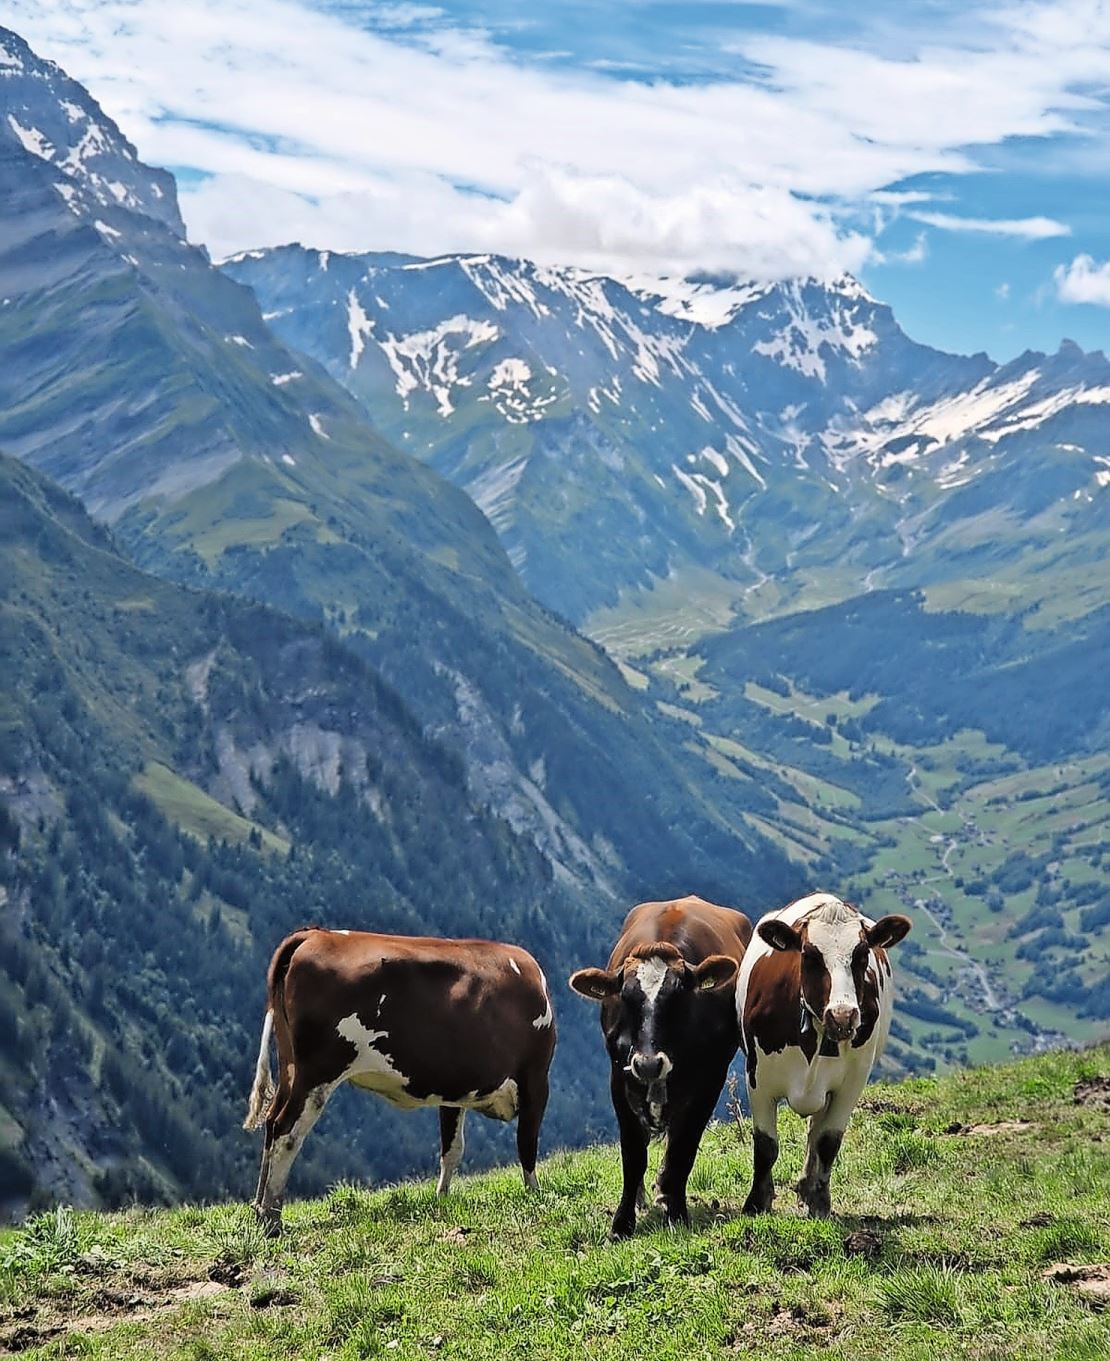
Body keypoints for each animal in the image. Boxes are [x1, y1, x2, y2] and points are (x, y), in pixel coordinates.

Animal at [242, 925, 555, 1235]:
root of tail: (315, 934)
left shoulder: (454, 1089)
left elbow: (452, 1148)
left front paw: (442, 1199)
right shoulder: (536, 1077)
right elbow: (527, 1143)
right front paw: (535, 1193)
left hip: (290, 1067)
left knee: (271, 1123)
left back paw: (258, 1210)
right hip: (318, 1071)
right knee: (287, 1131)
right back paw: (272, 1219)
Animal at [568, 898, 750, 1241]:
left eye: (679, 995)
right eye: (626, 996)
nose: (649, 1063)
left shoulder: (710, 1080)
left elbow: (683, 1147)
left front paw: (675, 1211)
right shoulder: (620, 1077)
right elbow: (633, 1155)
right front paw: (622, 1223)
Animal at [734, 892, 908, 1224]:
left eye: (862, 955)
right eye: (809, 955)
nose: (843, 1016)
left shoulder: (852, 1083)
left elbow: (828, 1141)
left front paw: (821, 1202)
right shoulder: (757, 1078)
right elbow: (765, 1144)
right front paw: (756, 1203)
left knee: (815, 1131)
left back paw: (807, 1186)